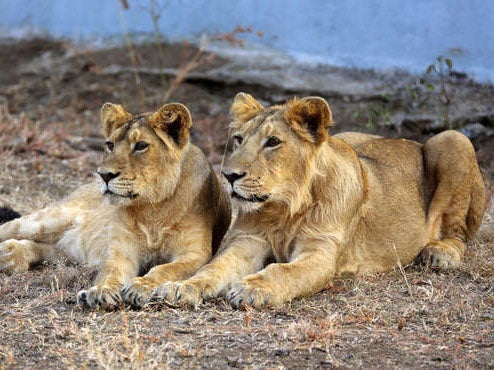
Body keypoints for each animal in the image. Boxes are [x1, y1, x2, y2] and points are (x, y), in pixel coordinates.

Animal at [0, 102, 231, 310]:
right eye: (110, 145)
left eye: (141, 145)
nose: (104, 175)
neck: (153, 207)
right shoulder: (121, 248)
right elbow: (111, 270)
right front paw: (101, 291)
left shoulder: (196, 253)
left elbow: (165, 269)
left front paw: (141, 286)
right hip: (48, 219)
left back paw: (10, 256)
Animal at [157, 92, 486, 310]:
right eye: (238, 139)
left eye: (273, 142)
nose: (228, 175)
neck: (283, 210)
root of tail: (412, 141)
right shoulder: (247, 240)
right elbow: (214, 268)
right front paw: (181, 287)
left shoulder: (321, 252)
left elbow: (284, 271)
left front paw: (253, 288)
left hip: (453, 140)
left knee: (458, 233)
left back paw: (439, 253)